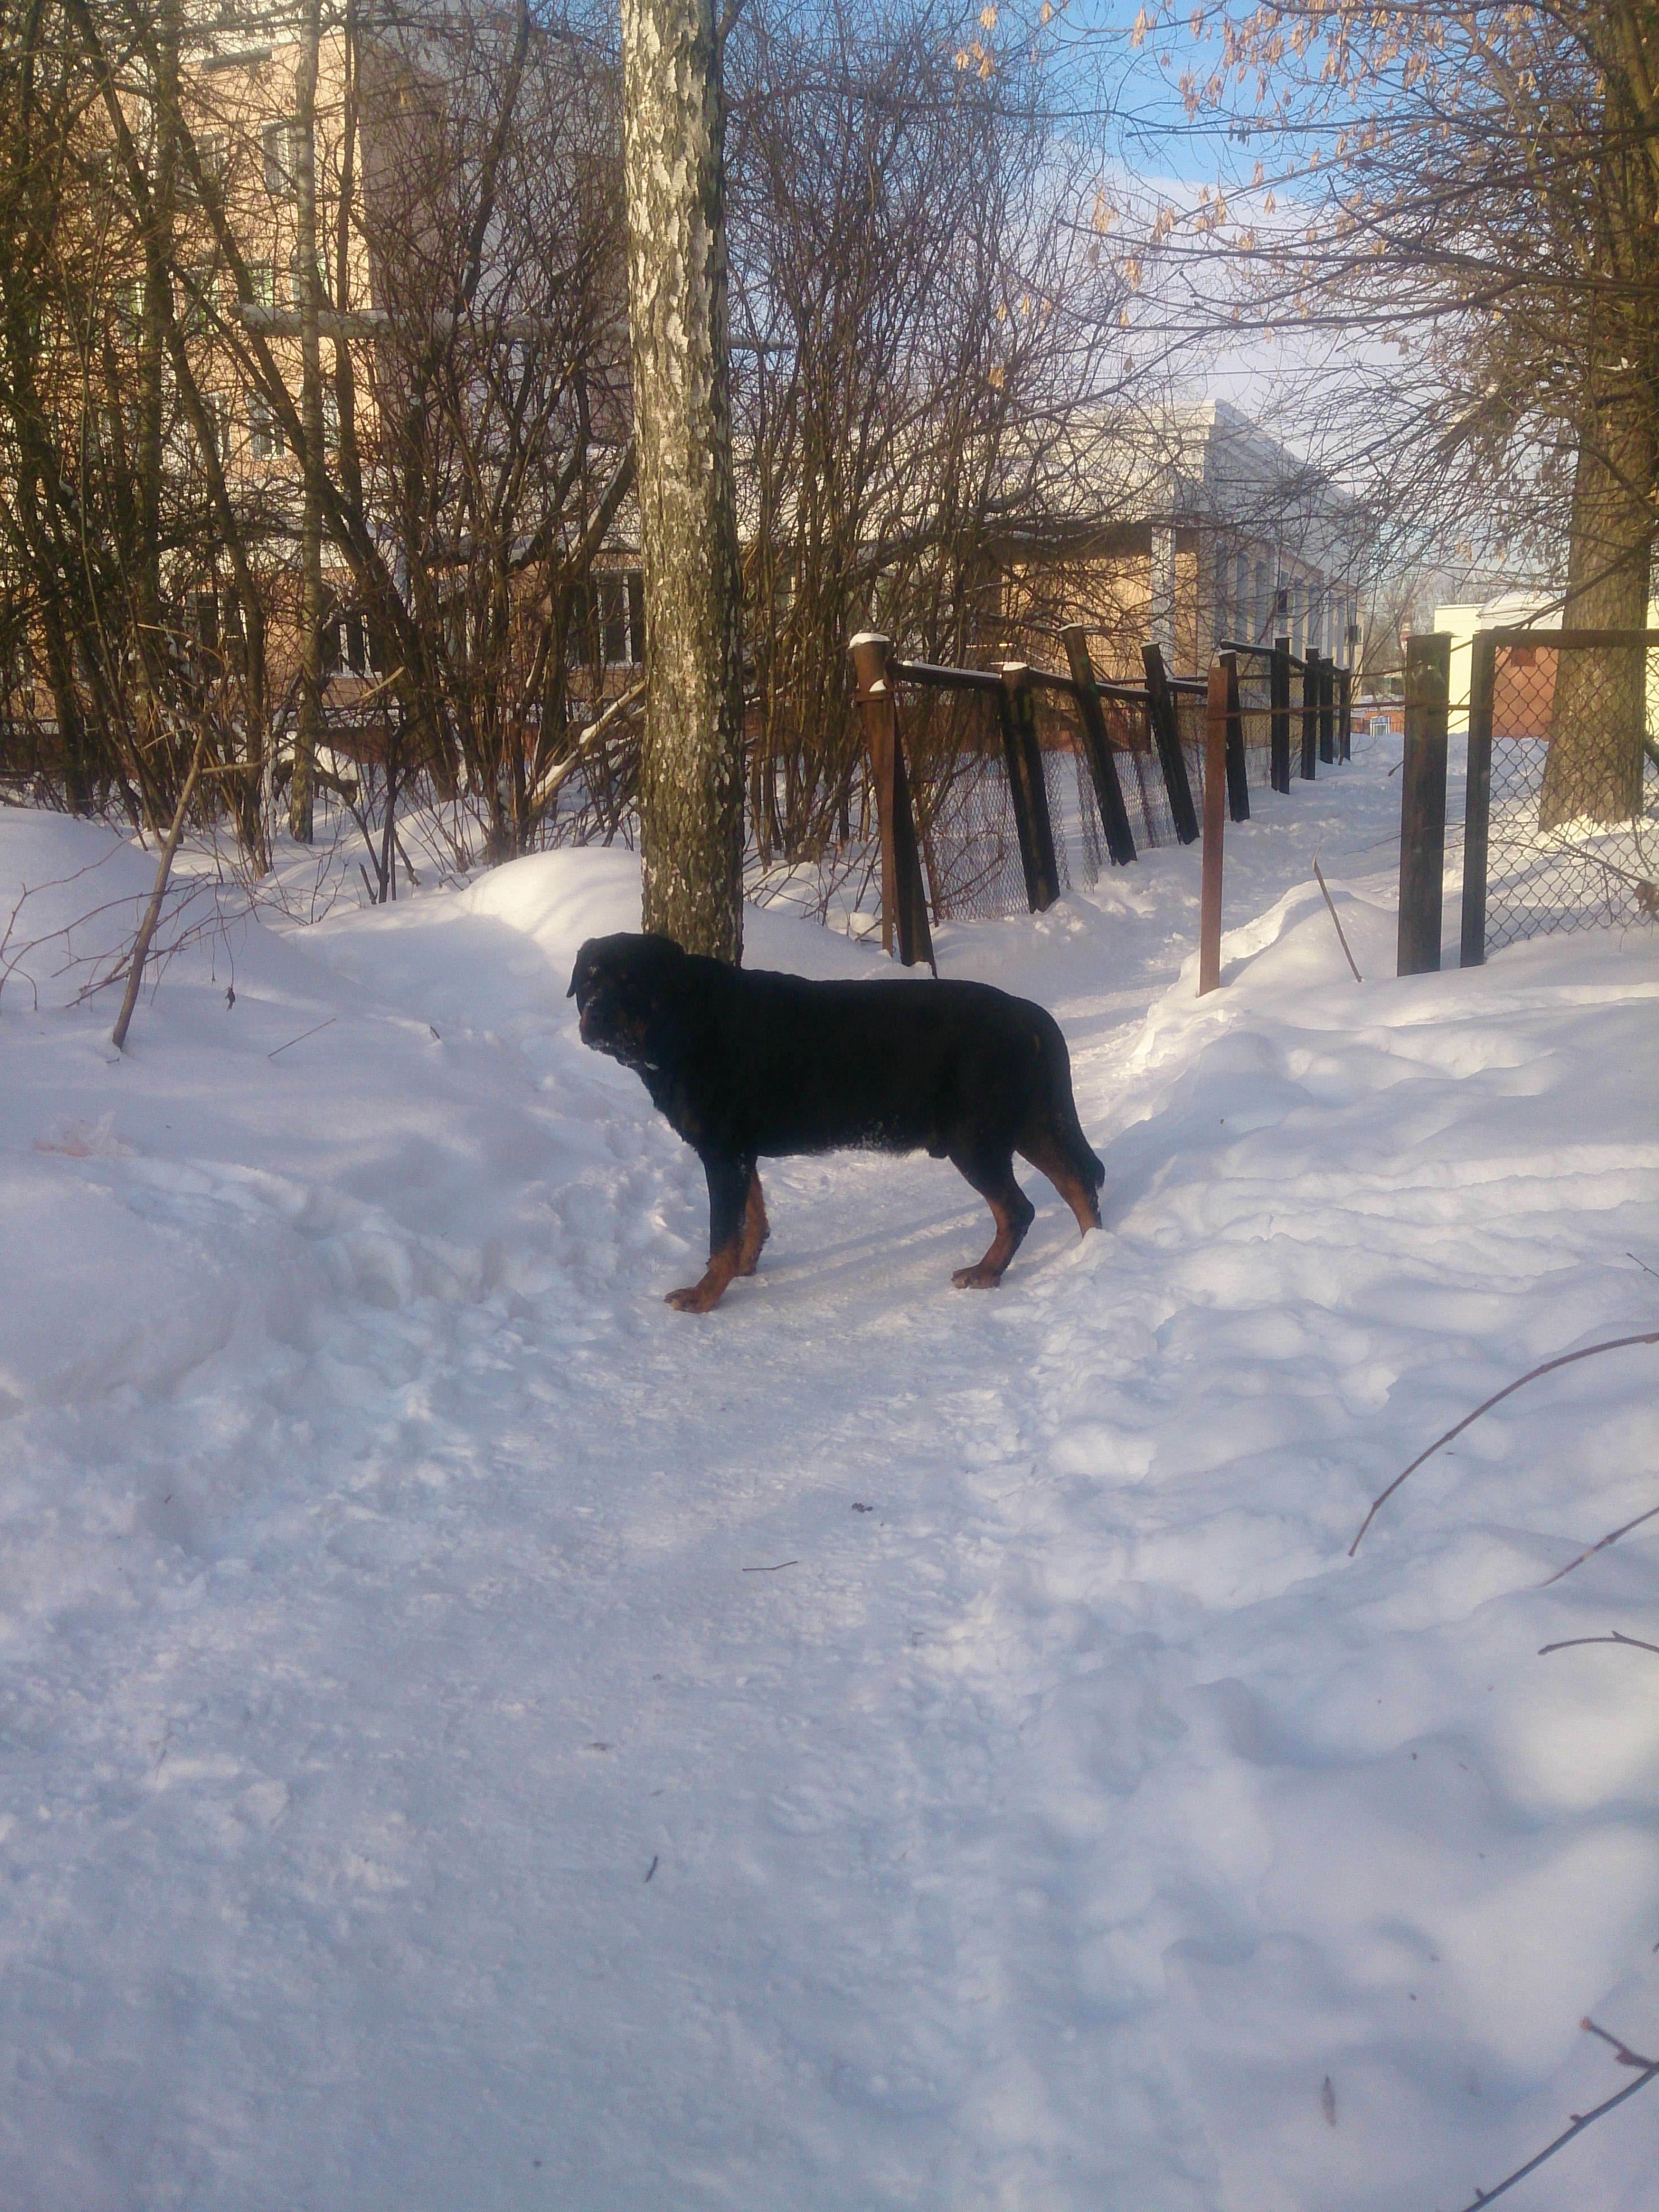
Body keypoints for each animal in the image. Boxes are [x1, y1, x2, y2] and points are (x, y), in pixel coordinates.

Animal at [568, 931, 1104, 1312]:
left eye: (631, 981)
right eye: (589, 981)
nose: (596, 1015)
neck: (685, 1023)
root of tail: (1029, 1014)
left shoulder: (721, 1153)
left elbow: (722, 1233)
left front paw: (705, 1295)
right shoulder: (739, 1150)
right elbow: (752, 1218)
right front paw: (745, 1266)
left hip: (975, 1138)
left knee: (1018, 1209)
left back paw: (987, 1272)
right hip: (1034, 1122)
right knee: (1079, 1185)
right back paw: (1095, 1253)